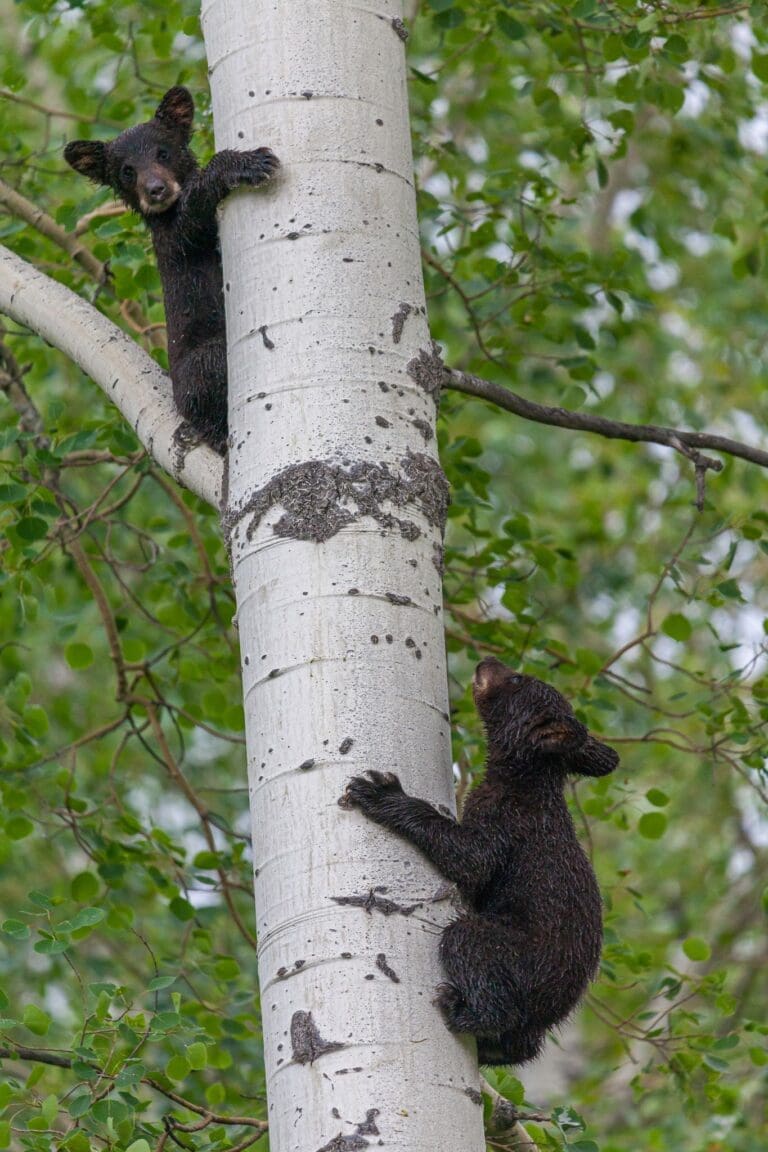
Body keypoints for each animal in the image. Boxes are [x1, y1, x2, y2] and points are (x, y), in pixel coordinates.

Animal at [64, 86, 279, 453]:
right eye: (126, 170)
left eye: (163, 153)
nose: (156, 190)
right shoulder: (175, 240)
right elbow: (192, 214)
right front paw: (249, 162)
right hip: (200, 367)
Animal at [341, 656, 618, 1065]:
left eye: (517, 679)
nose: (487, 660)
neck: (522, 778)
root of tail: (547, 1017)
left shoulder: (509, 821)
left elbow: (472, 859)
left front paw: (381, 793)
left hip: (518, 954)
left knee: (468, 942)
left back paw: (463, 1011)